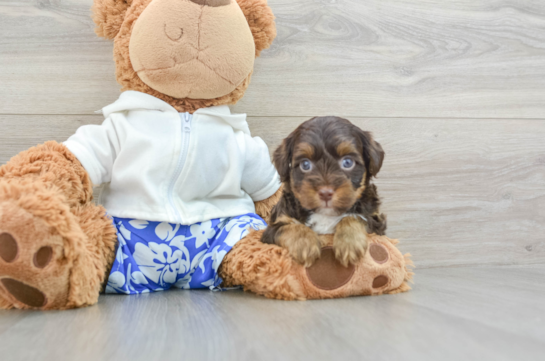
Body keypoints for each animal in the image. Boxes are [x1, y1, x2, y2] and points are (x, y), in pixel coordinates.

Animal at [260, 116, 384, 266]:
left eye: (348, 162)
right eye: (305, 164)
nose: (325, 193)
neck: (325, 214)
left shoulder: (376, 220)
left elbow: (355, 217)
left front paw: (349, 243)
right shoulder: (272, 228)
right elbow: (287, 227)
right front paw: (306, 244)